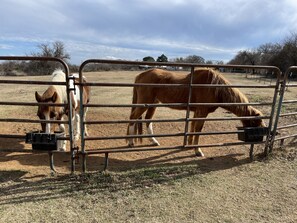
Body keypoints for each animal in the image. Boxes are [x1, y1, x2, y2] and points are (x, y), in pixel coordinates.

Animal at [126, 68, 264, 157]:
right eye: (256, 125)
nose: (260, 141)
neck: (215, 88)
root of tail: (140, 75)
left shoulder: (197, 112)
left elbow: (192, 126)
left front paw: (189, 144)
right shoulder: (202, 112)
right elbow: (198, 129)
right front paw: (197, 150)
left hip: (153, 104)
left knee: (147, 120)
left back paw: (153, 141)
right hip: (145, 103)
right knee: (133, 118)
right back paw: (131, 142)